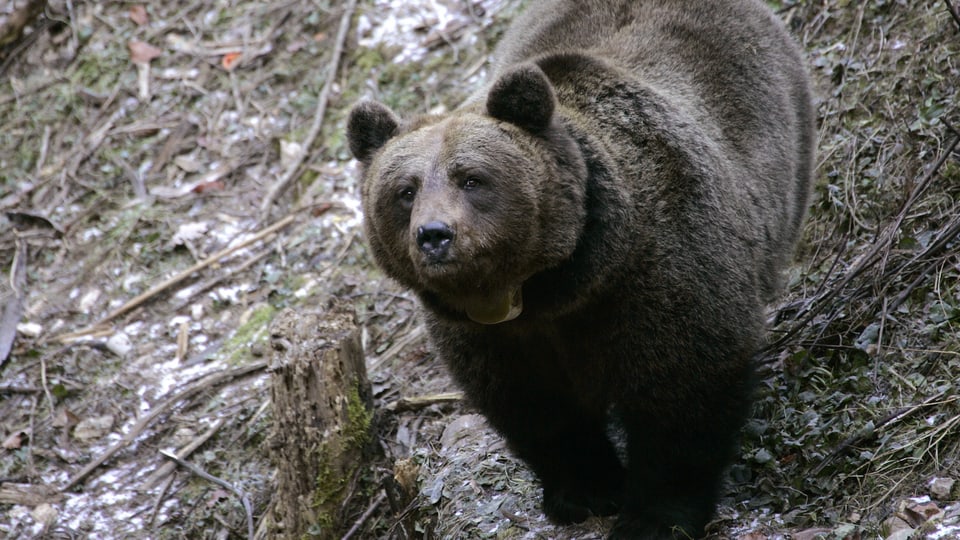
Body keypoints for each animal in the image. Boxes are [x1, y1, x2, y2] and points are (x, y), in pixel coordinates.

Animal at [348, 0, 812, 536]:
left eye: (472, 178)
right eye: (405, 191)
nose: (435, 235)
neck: (554, 286)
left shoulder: (661, 270)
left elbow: (683, 386)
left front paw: (656, 515)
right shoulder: (491, 337)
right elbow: (537, 409)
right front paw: (586, 491)